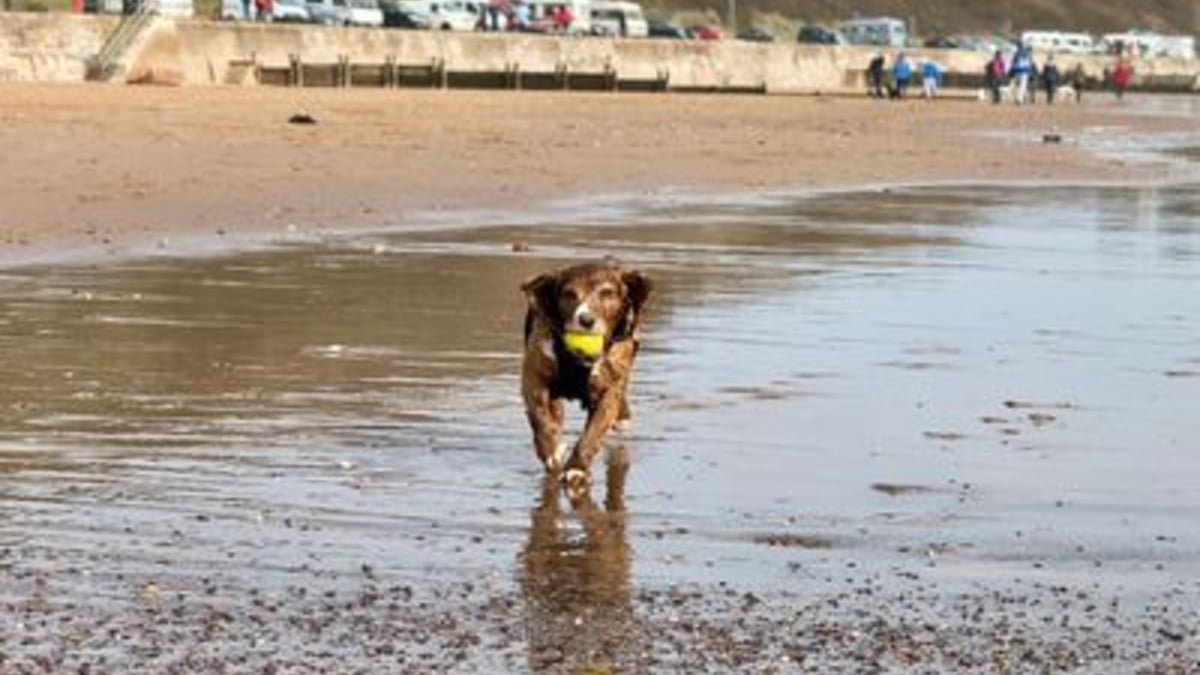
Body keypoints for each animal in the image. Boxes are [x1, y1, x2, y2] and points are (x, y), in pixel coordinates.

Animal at [520, 261, 652, 487]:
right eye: (569, 294)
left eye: (607, 293)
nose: (586, 319)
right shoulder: (533, 376)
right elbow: (540, 418)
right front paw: (551, 450)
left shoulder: (608, 392)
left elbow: (593, 433)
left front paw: (577, 468)